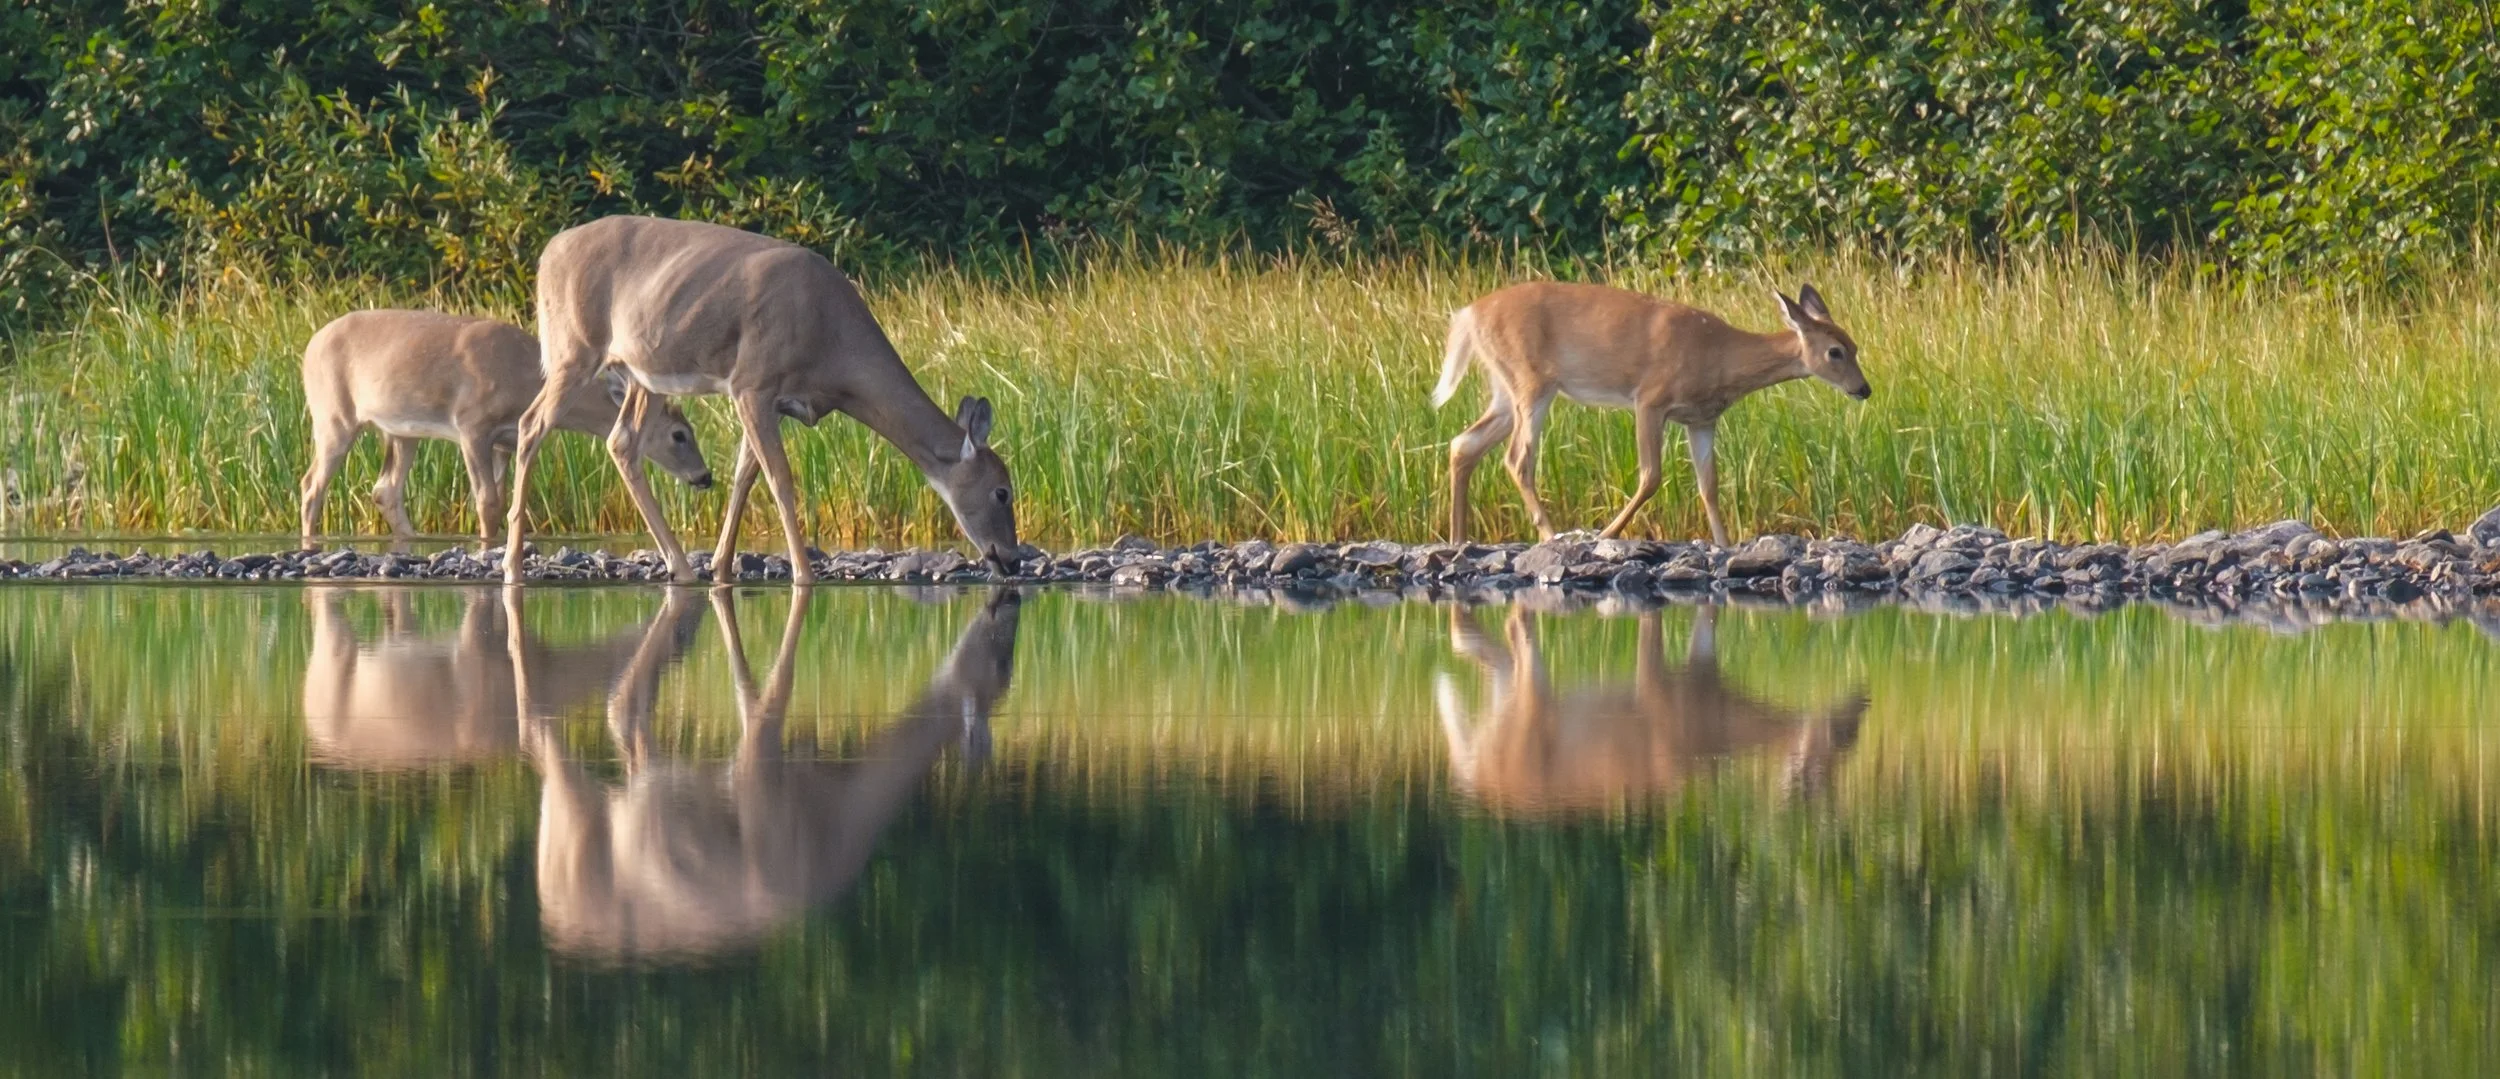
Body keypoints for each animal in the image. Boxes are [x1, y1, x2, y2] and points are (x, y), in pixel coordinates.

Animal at [298, 309, 713, 547]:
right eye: (679, 434)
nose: (705, 477)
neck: (524, 377)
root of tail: (309, 346)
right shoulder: (472, 424)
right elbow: (486, 499)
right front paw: (488, 547)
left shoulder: (504, 441)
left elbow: (498, 497)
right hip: (332, 414)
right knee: (311, 483)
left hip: (401, 431)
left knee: (385, 489)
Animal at [501, 216, 1019, 586]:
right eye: (1002, 491)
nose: (1011, 558)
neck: (833, 349)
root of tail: (548, 254)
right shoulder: (753, 381)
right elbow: (780, 479)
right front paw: (805, 574)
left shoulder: (776, 401)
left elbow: (744, 477)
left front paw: (721, 567)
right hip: (573, 347)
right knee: (532, 425)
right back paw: (512, 565)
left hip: (643, 374)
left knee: (621, 441)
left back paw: (680, 567)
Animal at [524, 586, 1022, 959]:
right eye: (1000, 668)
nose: (1006, 577)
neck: (838, 809)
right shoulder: (757, 775)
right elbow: (771, 690)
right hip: (572, 805)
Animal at [1433, 281, 1870, 546]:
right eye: (1835, 351)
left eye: (1855, 346)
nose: (1864, 389)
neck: (1720, 357)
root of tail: (1468, 314)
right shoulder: (1649, 399)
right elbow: (1651, 476)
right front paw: (1607, 534)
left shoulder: (1702, 420)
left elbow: (1709, 485)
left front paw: (1724, 544)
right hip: (1531, 381)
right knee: (1517, 457)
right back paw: (1551, 534)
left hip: (1503, 388)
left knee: (1463, 443)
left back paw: (1457, 538)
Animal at [1433, 604, 1869, 814]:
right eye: (1837, 737)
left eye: (1852, 739)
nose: (1862, 702)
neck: (1720, 718)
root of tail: (1477, 775)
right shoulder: (1657, 686)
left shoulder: (1700, 667)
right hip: (1526, 705)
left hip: (1501, 704)